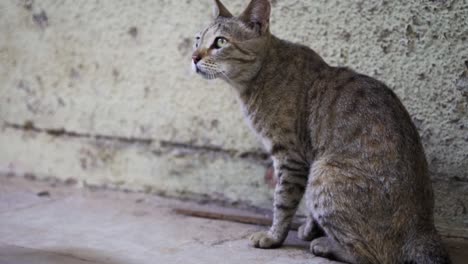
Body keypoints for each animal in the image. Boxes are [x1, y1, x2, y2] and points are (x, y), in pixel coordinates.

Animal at [191, 1, 454, 262]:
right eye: (197, 39)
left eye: (220, 42)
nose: (193, 57)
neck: (260, 75)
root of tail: (423, 230)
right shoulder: (303, 158)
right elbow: (305, 209)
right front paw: (309, 228)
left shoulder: (290, 157)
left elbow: (282, 201)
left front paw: (274, 236)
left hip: (324, 173)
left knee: (371, 256)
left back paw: (327, 245)